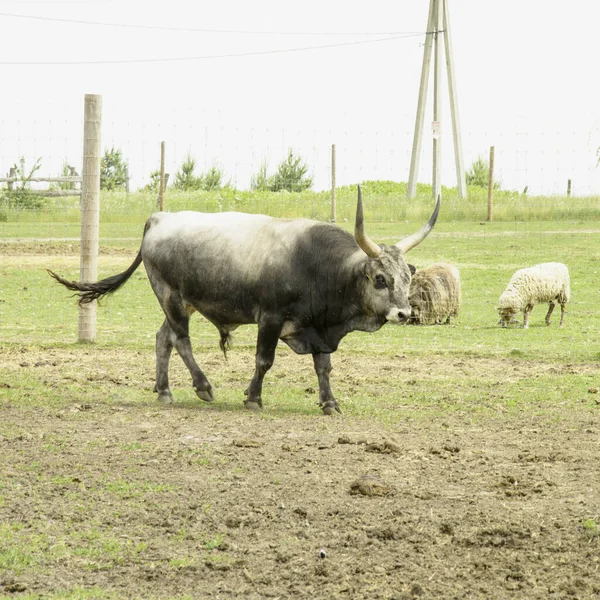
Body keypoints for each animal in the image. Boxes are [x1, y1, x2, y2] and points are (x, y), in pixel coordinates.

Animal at [48, 190, 440, 414]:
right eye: (380, 279)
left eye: (407, 277)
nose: (405, 313)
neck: (318, 265)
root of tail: (161, 218)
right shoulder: (270, 318)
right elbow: (264, 360)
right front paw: (253, 397)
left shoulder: (318, 326)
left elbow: (323, 367)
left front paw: (329, 402)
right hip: (170, 295)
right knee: (181, 340)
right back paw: (203, 387)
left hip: (182, 302)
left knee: (163, 339)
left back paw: (164, 391)